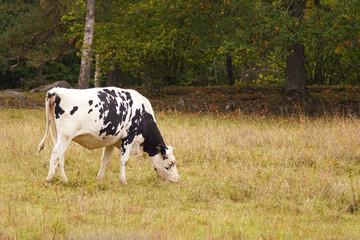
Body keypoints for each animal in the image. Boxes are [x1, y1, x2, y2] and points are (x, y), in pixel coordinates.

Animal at [38, 87, 179, 185]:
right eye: (171, 163)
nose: (177, 179)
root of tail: (57, 91)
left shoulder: (111, 140)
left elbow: (105, 160)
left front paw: (99, 179)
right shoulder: (129, 136)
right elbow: (124, 160)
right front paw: (123, 181)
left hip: (56, 133)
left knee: (60, 156)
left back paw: (64, 179)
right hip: (65, 135)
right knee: (56, 153)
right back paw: (49, 178)